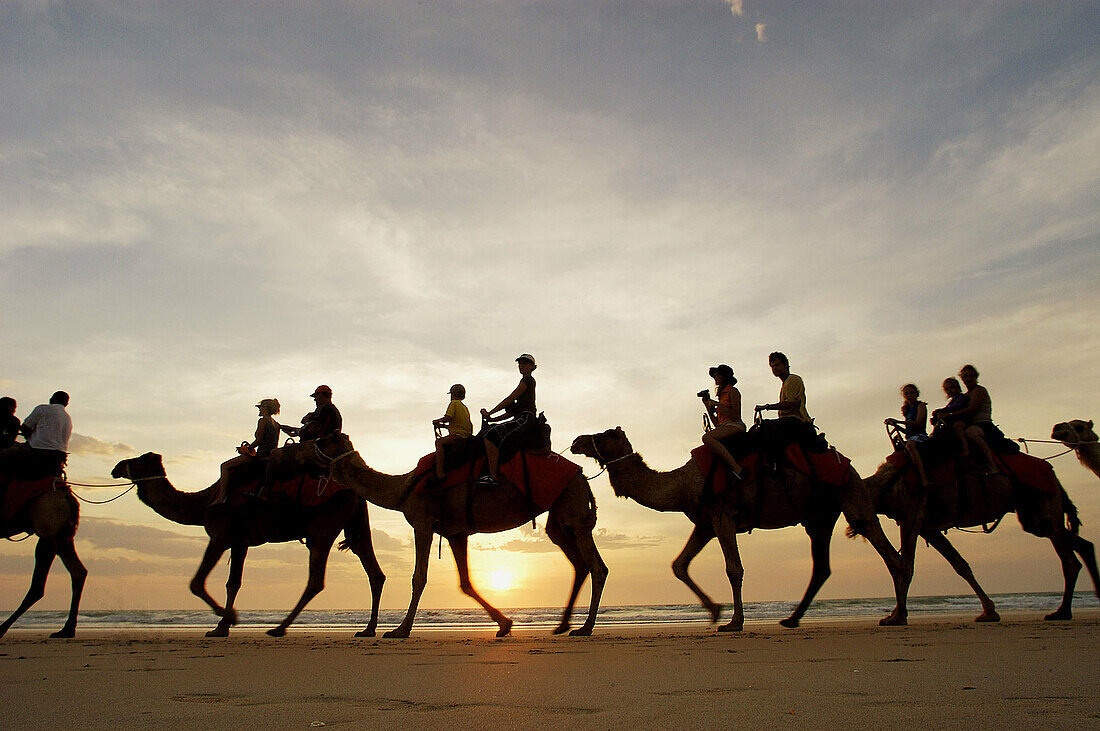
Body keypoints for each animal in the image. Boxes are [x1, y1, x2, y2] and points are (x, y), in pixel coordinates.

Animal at [0, 479, 86, 633]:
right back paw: (67, 629)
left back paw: (1, 629)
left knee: (38, 586)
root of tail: (68, 496)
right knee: (78, 572)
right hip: (62, 537)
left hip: (48, 532)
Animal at [111, 448, 385, 637]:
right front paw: (221, 627)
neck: (204, 502)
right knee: (373, 570)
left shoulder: (220, 535)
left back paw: (279, 628)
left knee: (316, 580)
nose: (116, 467)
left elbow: (196, 582)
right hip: (355, 523)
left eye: (137, 460)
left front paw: (230, 617)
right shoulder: (240, 541)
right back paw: (368, 629)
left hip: (322, 528)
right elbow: (233, 583)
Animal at [299, 435, 611, 637]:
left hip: (572, 504)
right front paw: (504, 624)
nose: (303, 449)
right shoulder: (456, 533)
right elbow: (465, 582)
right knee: (577, 560)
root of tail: (582, 473)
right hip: (560, 513)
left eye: (324, 440)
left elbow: (419, 577)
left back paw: (585, 628)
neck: (404, 487)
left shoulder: (423, 522)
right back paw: (563, 625)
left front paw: (400, 630)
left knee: (597, 566)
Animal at [567, 428, 910, 628]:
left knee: (887, 550)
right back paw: (792, 618)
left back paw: (898, 616)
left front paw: (734, 620)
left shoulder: (722, 516)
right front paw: (715, 611)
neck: (682, 483)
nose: (576, 441)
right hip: (820, 516)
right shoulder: (705, 523)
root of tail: (848, 464)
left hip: (849, 495)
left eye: (604, 433)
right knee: (823, 567)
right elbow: (679, 565)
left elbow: (734, 568)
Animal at [862, 452, 1095, 619]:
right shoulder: (927, 527)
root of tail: (1052, 472)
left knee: (1069, 560)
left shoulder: (911, 514)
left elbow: (905, 566)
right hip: (1032, 516)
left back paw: (1062, 612)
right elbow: (960, 565)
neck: (885, 486)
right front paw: (989, 611)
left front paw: (897, 616)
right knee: (1082, 544)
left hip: (1043, 505)